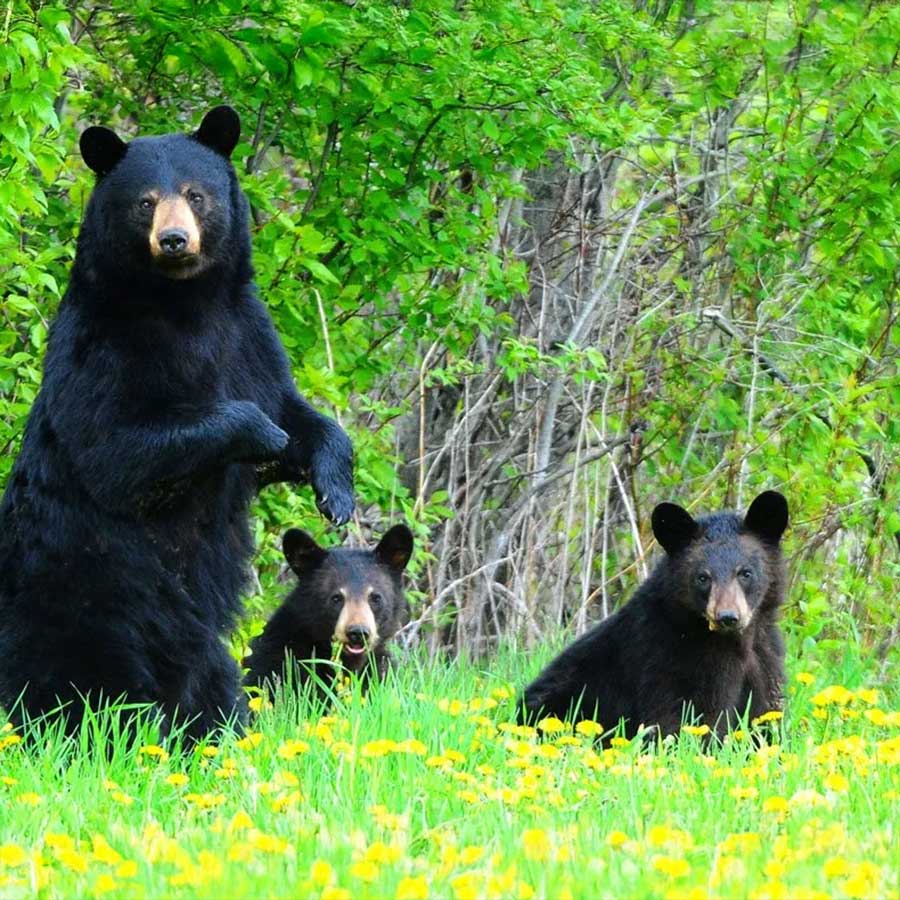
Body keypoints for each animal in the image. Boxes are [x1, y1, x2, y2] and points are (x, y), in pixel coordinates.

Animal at [0, 106, 354, 740]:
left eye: (195, 194)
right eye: (145, 201)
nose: (174, 240)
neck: (185, 304)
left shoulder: (248, 335)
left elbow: (292, 406)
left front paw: (335, 491)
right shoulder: (102, 348)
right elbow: (117, 448)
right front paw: (263, 433)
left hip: (192, 641)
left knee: (211, 678)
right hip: (90, 602)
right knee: (77, 686)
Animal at [518, 490, 789, 742]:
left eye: (745, 573)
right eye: (702, 577)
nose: (727, 617)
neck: (737, 641)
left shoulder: (765, 657)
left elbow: (766, 714)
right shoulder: (675, 660)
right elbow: (690, 718)